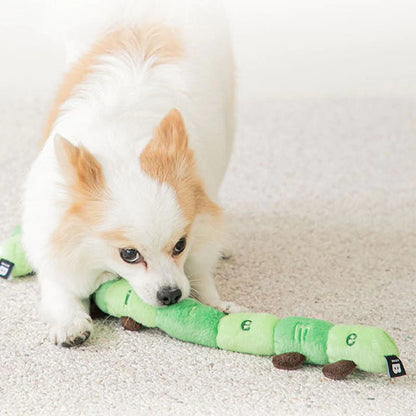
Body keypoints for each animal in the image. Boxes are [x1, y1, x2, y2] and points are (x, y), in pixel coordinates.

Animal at [22, 0, 237, 348]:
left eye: (180, 246)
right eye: (129, 255)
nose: (171, 294)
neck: (121, 141)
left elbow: (201, 270)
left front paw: (215, 303)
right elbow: (59, 287)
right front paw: (69, 322)